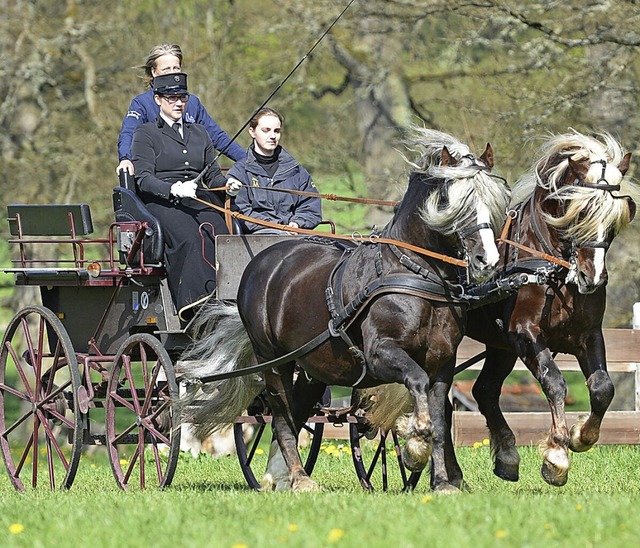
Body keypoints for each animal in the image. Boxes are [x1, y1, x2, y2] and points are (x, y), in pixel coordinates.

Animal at [176, 127, 510, 492]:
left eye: (494, 200)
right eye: (452, 201)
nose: (487, 261)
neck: (413, 275)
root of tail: (260, 262)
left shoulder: (443, 362)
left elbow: (439, 417)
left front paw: (441, 482)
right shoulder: (381, 354)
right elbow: (418, 385)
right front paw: (414, 447)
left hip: (310, 365)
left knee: (296, 413)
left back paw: (281, 476)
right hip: (272, 361)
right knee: (280, 418)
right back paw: (299, 478)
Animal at [362, 130, 636, 488]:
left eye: (615, 218)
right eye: (580, 212)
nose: (593, 278)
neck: (548, 265)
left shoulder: (588, 335)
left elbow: (603, 387)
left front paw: (580, 437)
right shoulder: (524, 333)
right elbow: (555, 381)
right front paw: (557, 457)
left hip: (498, 346)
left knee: (482, 392)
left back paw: (497, 460)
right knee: (452, 404)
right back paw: (452, 473)